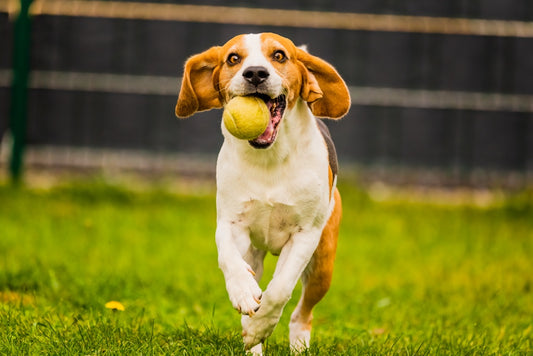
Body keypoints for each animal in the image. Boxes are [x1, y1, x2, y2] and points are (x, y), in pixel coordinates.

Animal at [175, 32, 350, 354]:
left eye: (279, 55)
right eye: (233, 58)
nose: (255, 73)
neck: (269, 158)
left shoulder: (305, 235)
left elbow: (280, 289)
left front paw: (261, 325)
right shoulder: (229, 223)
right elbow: (229, 259)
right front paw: (243, 293)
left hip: (322, 265)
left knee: (302, 312)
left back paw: (296, 343)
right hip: (255, 254)